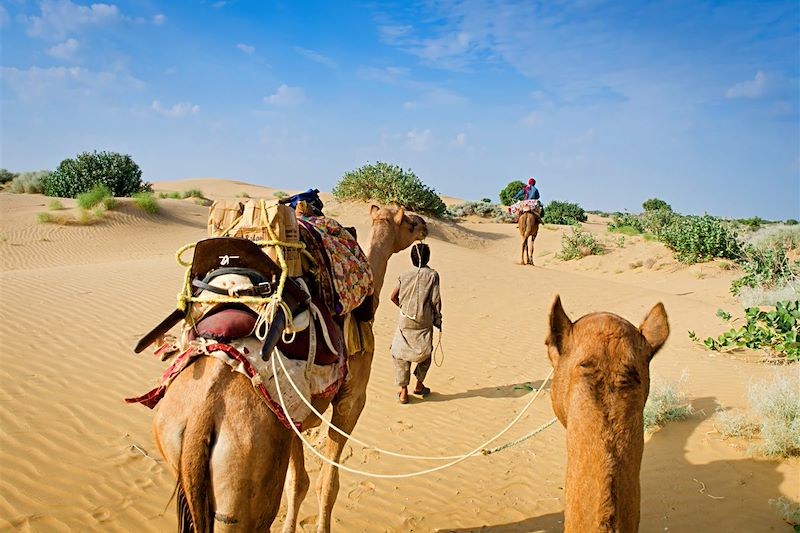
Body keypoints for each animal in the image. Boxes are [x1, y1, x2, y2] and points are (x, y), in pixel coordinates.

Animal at [149, 205, 424, 532]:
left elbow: (298, 482)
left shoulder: (293, 416)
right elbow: (327, 484)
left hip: (177, 450)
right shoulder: (352, 398)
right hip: (244, 484)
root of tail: (199, 424)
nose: (424, 226)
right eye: (409, 222)